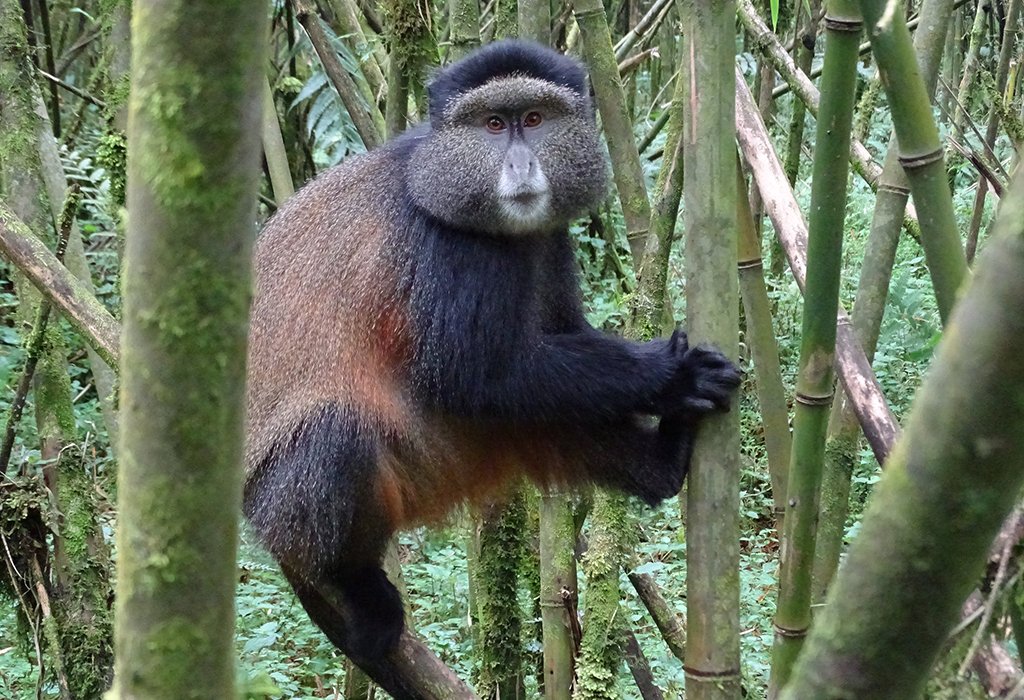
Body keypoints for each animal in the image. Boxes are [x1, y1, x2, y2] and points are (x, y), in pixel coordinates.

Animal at [243, 39, 740, 697]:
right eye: (492, 125)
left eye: (533, 119)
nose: (521, 166)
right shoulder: (451, 245)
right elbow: (476, 380)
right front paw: (672, 374)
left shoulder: (550, 237)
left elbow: (557, 341)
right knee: (335, 434)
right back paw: (355, 582)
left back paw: (663, 462)